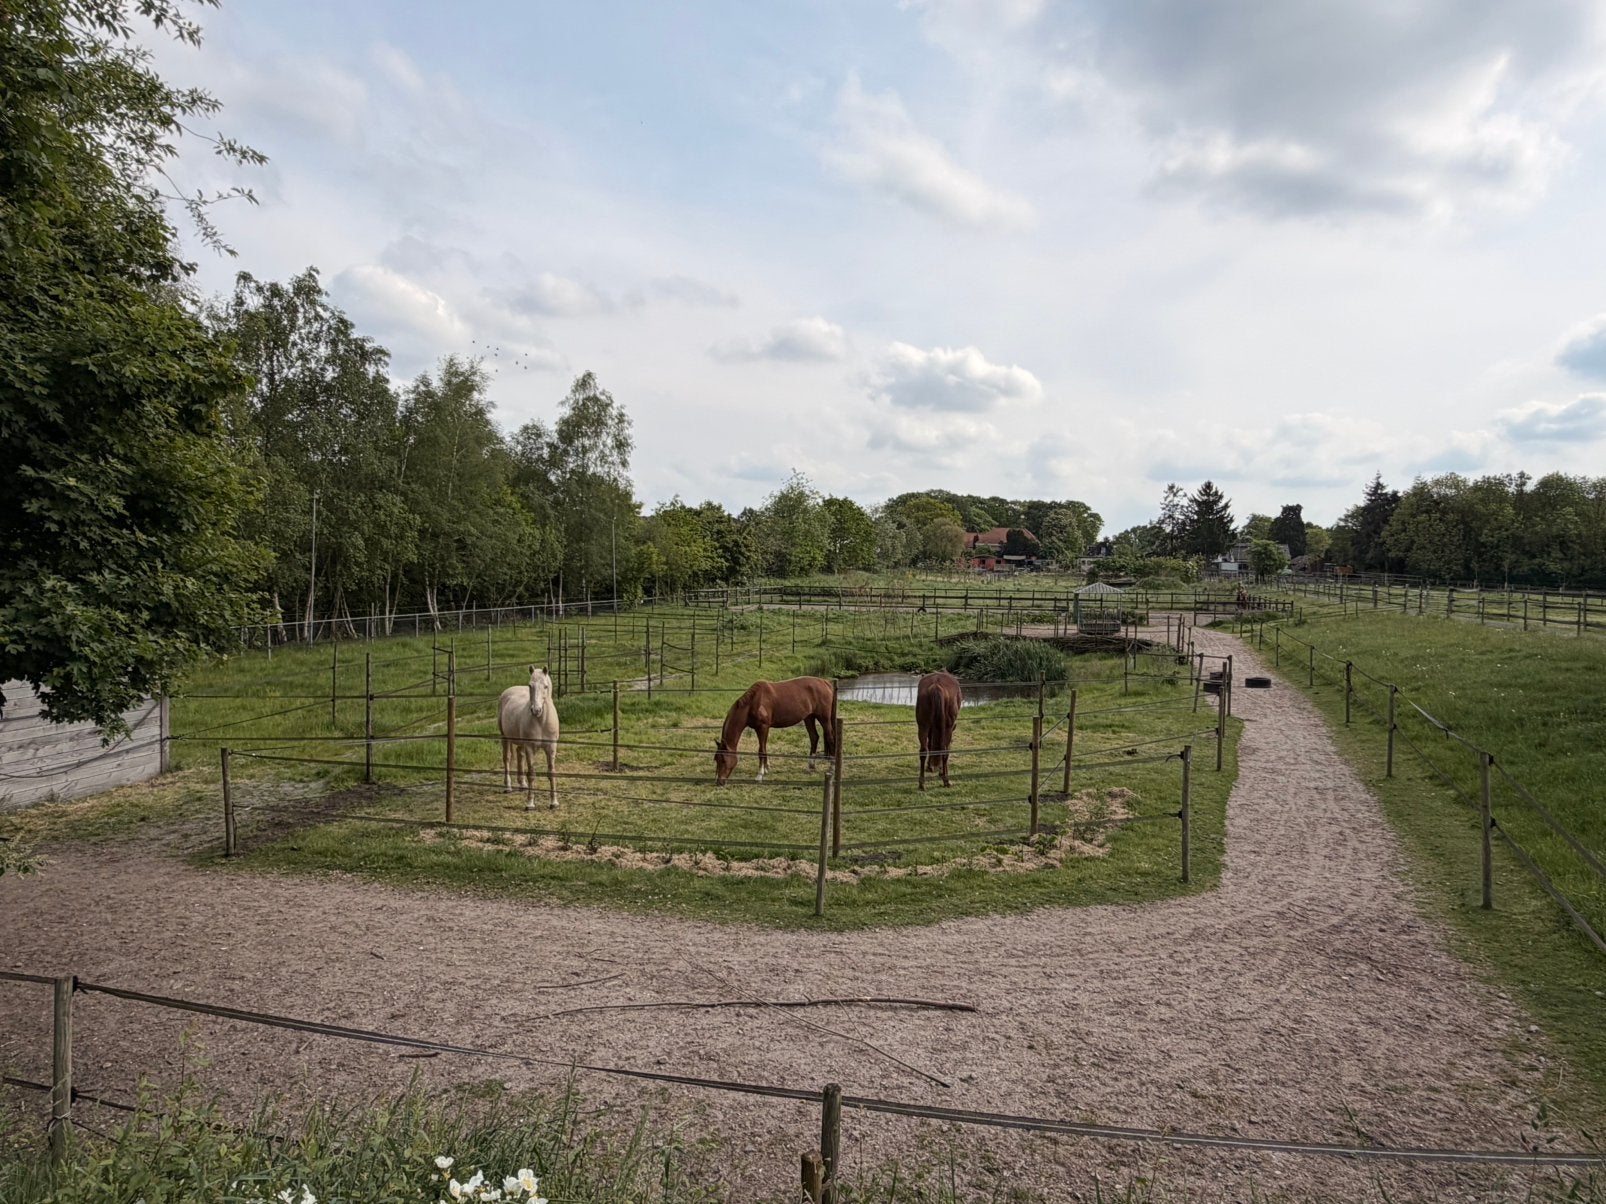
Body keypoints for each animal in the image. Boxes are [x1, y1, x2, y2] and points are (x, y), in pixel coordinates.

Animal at [498, 665, 560, 810]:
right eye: (530, 685)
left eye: (545, 686)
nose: (536, 710)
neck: (541, 721)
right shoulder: (530, 747)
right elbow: (531, 774)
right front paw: (530, 804)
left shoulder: (551, 747)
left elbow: (551, 772)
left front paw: (554, 802)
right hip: (505, 738)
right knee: (507, 758)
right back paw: (508, 787)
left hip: (521, 743)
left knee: (519, 754)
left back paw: (522, 785)